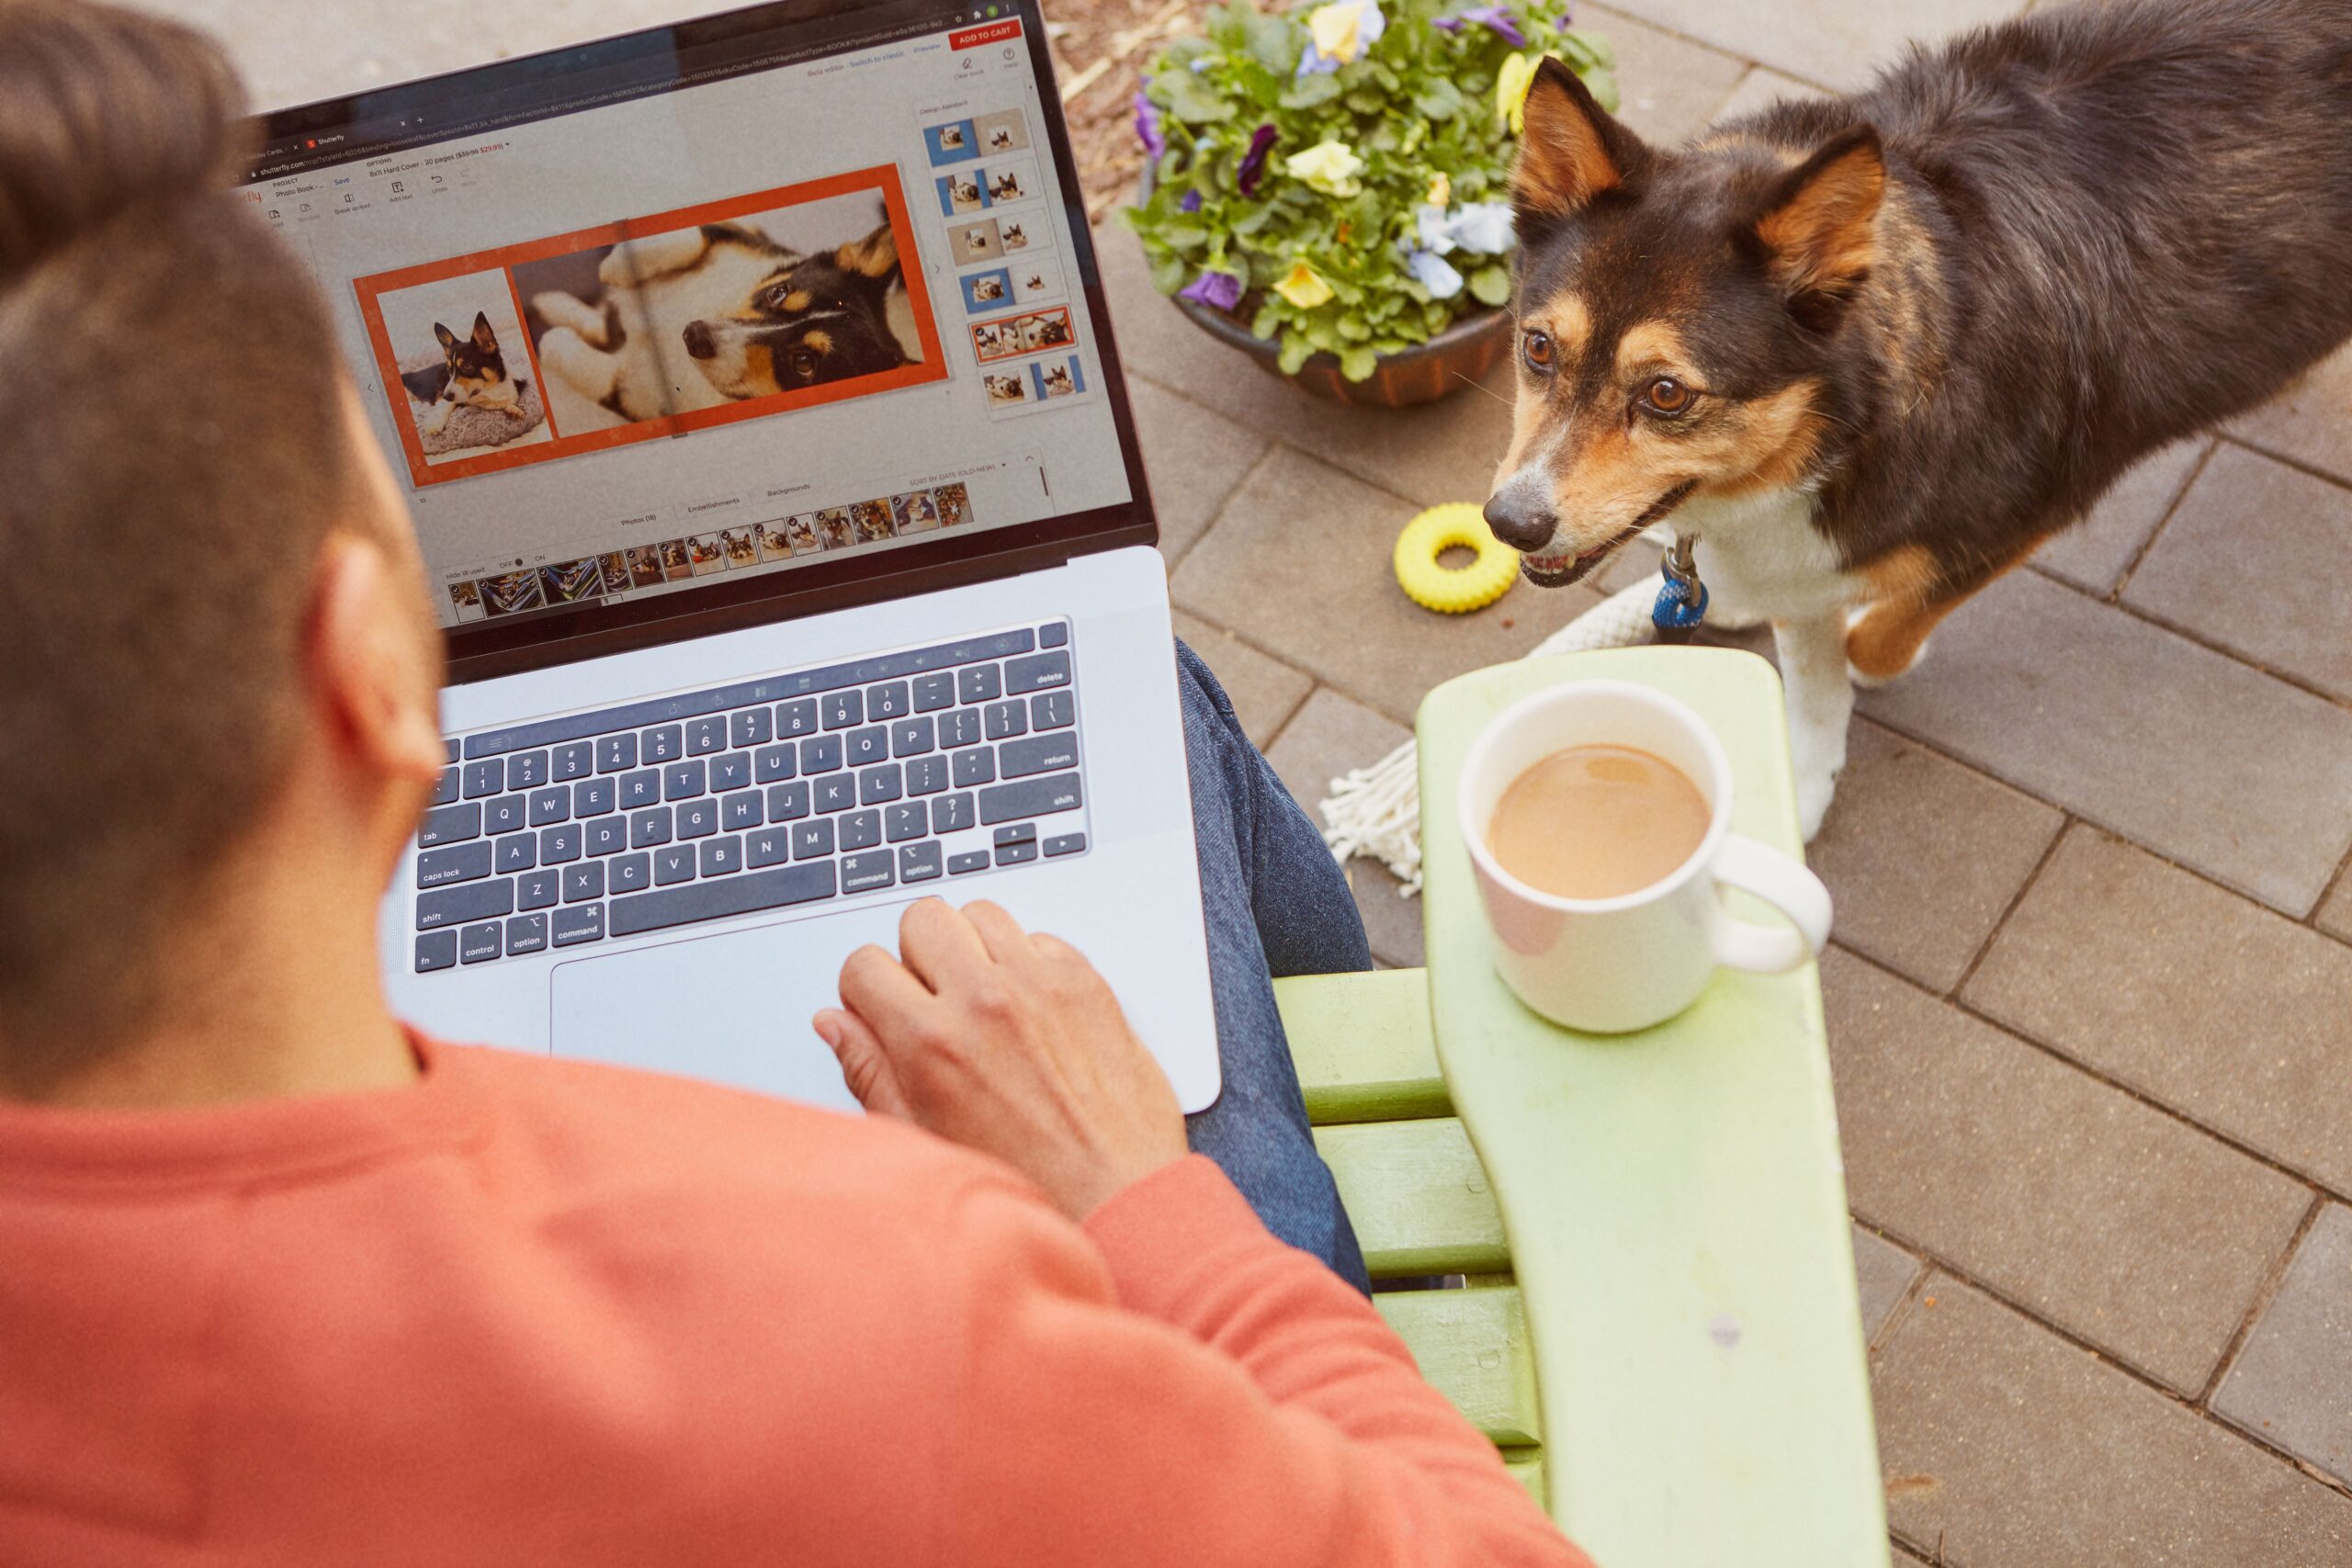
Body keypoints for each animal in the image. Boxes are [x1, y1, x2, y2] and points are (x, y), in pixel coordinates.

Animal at [1486, 0, 2352, 841]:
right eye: (1537, 347)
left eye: (1667, 394)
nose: (1510, 523)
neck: (1850, 417)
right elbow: (1807, 661)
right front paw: (1802, 772)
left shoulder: (2022, 518)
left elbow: (1869, 638)